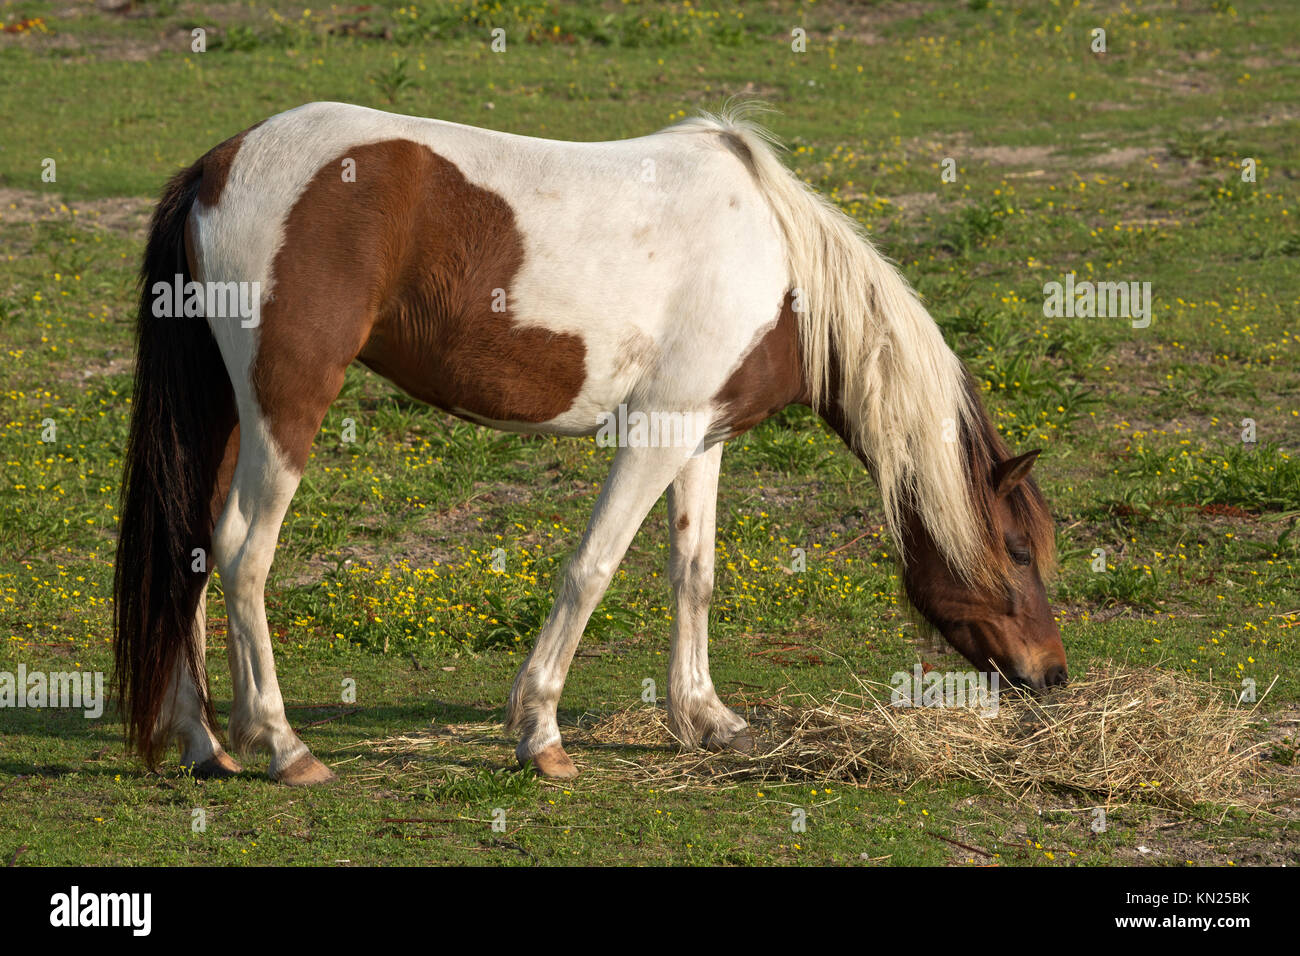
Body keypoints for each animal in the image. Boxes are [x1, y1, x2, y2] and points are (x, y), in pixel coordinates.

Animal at [113, 101, 1066, 785]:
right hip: (287, 408)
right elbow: (592, 569)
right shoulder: (654, 434)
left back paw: (205, 743)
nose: (1053, 675)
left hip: (228, 418)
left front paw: (706, 719)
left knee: (193, 551)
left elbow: (694, 574)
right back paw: (283, 746)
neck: (780, 265)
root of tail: (218, 165)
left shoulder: (700, 437)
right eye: (1017, 550)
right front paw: (540, 734)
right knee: (245, 553)